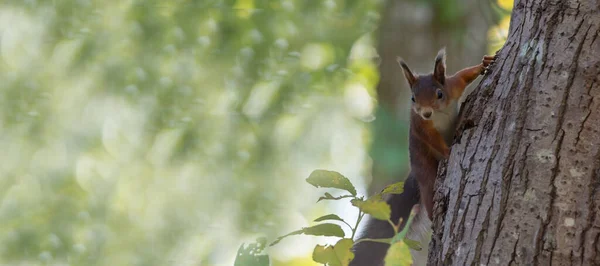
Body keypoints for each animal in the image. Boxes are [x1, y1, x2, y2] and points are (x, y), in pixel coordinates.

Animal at [350, 48, 494, 266]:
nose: (426, 113)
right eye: (413, 98)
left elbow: (462, 76)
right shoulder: (421, 126)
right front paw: (448, 151)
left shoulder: (452, 86)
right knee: (428, 194)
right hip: (425, 172)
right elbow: (432, 140)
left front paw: (484, 63)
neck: (439, 113)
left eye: (439, 94)